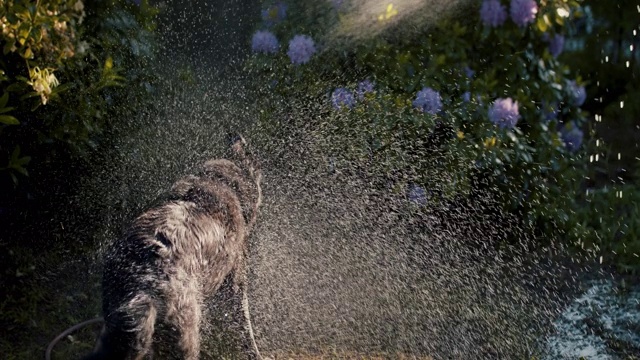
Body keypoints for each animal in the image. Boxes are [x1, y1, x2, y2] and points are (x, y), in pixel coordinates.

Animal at [83, 136, 262, 360]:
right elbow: (246, 327)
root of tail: (144, 288)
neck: (222, 182)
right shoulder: (235, 280)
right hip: (184, 335)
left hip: (115, 325)